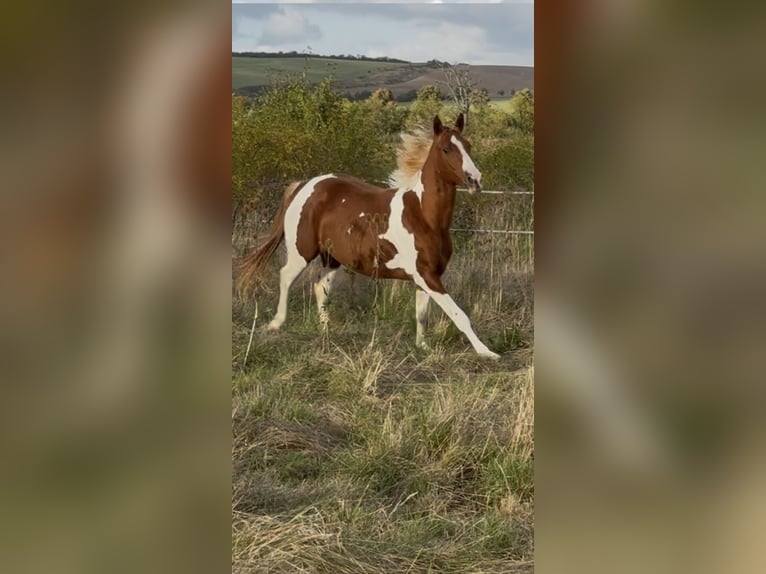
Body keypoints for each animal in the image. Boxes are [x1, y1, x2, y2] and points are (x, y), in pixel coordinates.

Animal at [237, 113, 500, 359]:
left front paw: (422, 347)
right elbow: (459, 314)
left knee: (321, 287)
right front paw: (487, 353)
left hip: (333, 258)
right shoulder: (426, 275)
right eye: (446, 149)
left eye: (468, 146)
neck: (423, 216)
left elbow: (421, 314)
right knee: (286, 276)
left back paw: (326, 332)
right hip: (301, 251)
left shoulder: (428, 275)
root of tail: (304, 185)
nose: (475, 179)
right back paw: (276, 324)